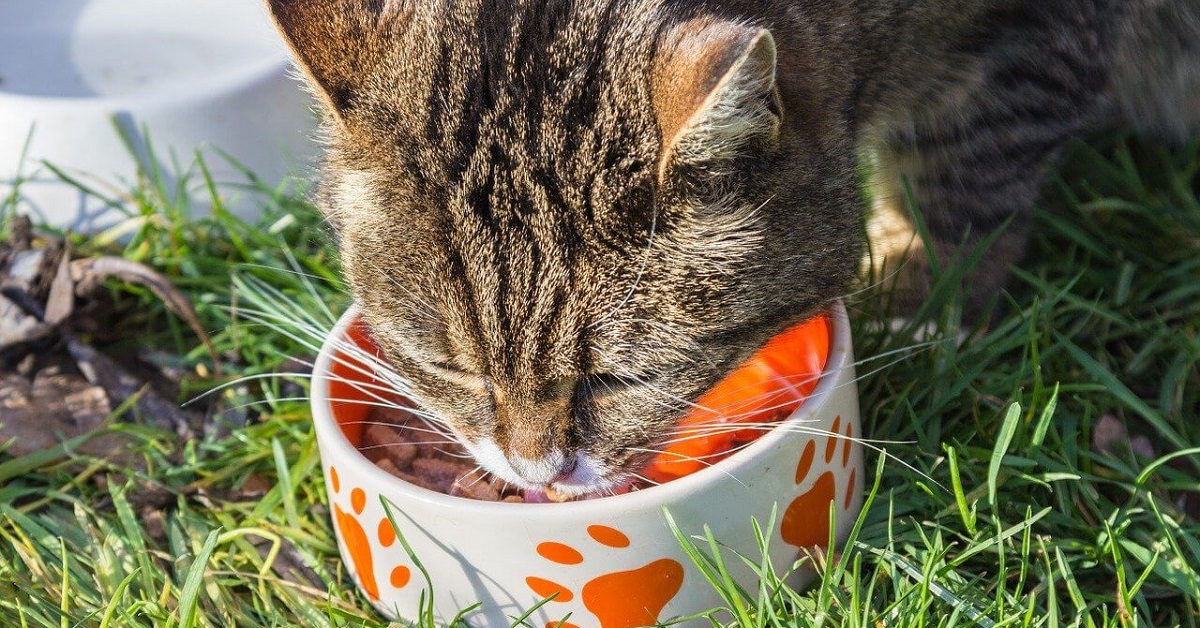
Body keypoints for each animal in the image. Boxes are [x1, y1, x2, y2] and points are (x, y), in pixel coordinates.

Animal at [267, 0, 1200, 499]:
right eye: (450, 368)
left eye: (620, 379)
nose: (537, 472)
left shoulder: (1028, 42)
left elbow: (964, 171)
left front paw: (920, 304)